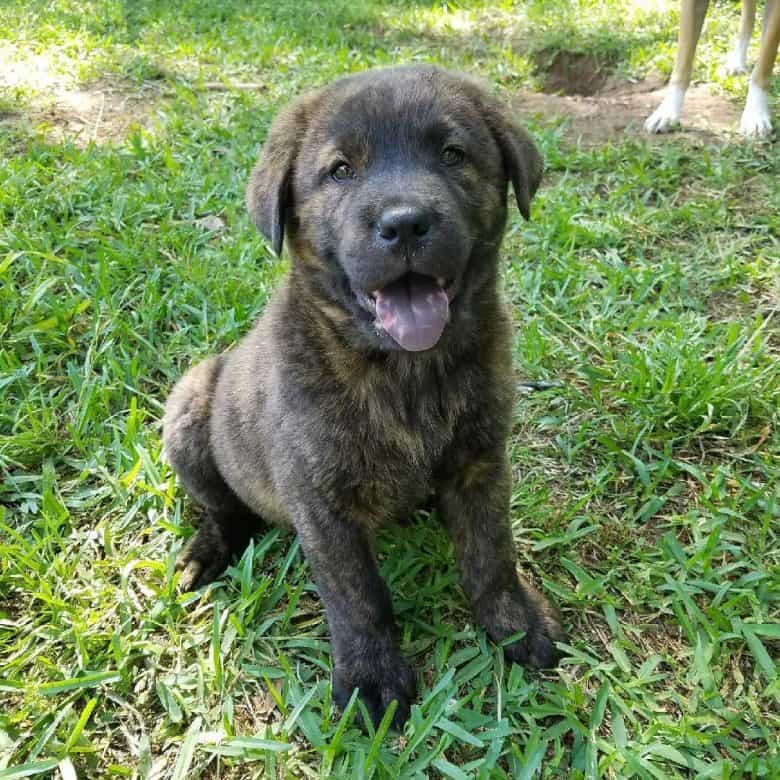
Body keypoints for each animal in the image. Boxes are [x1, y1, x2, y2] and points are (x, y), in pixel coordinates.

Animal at [165, 64, 564, 728]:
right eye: (340, 170)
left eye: (453, 155)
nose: (403, 224)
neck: (405, 372)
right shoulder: (319, 499)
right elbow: (358, 595)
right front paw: (372, 678)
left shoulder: (481, 461)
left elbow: (491, 551)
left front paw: (512, 622)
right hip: (191, 404)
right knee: (224, 507)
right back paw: (206, 549)